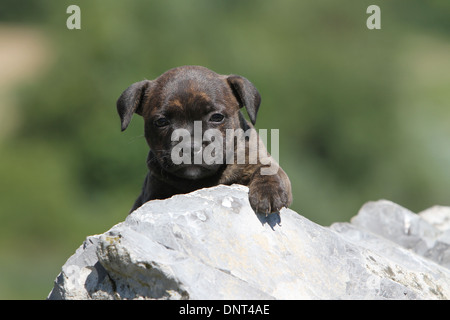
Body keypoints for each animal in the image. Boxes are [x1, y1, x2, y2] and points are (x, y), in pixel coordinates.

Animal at [117, 65, 292, 215]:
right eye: (161, 122)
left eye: (217, 117)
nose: (190, 147)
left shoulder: (256, 158)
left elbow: (268, 170)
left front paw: (268, 193)